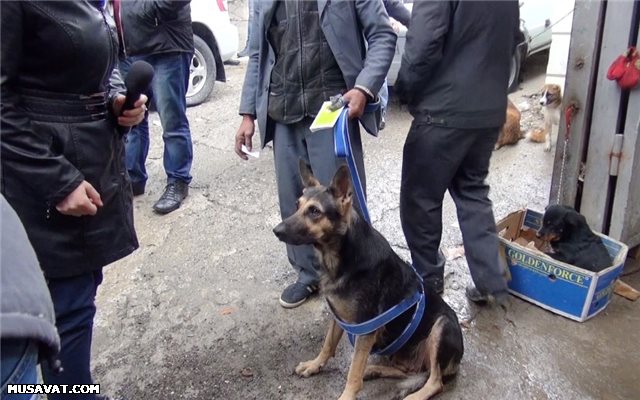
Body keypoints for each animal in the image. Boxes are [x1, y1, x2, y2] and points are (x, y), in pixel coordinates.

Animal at [272, 162, 462, 400]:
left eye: (314, 211)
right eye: (297, 206)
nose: (276, 231)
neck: (342, 257)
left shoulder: (365, 330)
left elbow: (353, 372)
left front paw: (347, 395)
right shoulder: (339, 318)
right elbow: (327, 345)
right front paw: (315, 365)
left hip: (442, 327)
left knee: (435, 381)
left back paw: (413, 394)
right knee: (407, 371)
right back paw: (373, 370)